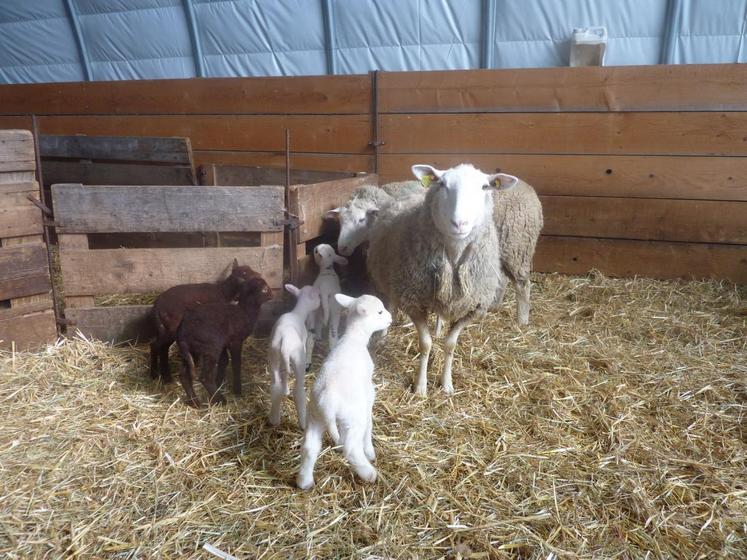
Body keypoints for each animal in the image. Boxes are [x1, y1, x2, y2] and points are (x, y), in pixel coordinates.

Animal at [177, 276, 274, 406]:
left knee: (184, 375)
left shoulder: (224, 343)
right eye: (264, 289)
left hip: (192, 351)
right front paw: (237, 390)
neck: (245, 312)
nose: (272, 294)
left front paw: (219, 383)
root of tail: (183, 331)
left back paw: (195, 402)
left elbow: (224, 361)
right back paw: (220, 400)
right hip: (211, 346)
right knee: (205, 377)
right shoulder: (235, 341)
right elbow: (236, 364)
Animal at [268, 284, 322, 428]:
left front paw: (285, 389)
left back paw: (274, 419)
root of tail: (285, 342)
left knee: (275, 386)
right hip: (298, 359)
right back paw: (303, 423)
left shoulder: (283, 360)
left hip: (274, 354)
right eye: (318, 296)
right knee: (298, 391)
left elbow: (284, 374)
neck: (298, 312)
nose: (320, 302)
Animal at [296, 294, 394, 490]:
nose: (390, 319)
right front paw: (370, 451)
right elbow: (369, 423)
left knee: (309, 447)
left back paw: (305, 482)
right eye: (380, 311)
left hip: (315, 415)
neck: (353, 338)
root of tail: (328, 400)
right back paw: (369, 473)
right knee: (351, 449)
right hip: (351, 419)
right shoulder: (368, 395)